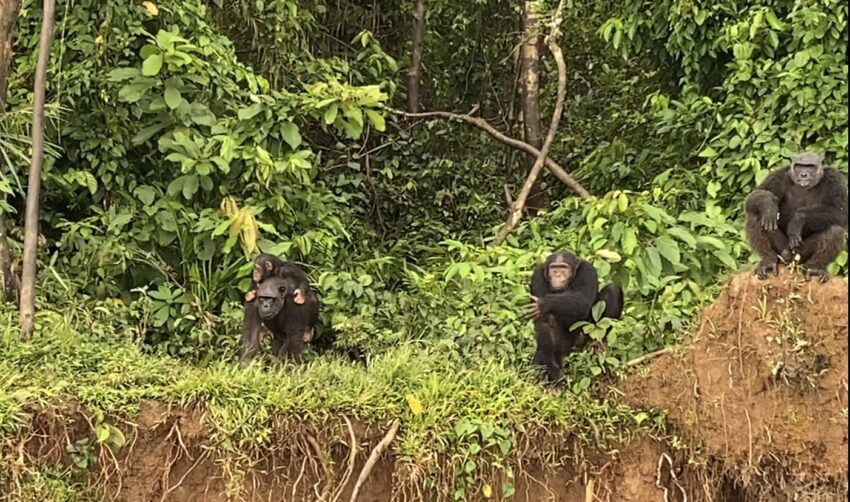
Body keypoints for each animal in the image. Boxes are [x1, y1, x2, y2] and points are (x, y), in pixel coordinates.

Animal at [524, 251, 624, 384]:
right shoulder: (537, 276)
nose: (558, 275)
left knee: (612, 290)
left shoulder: (588, 270)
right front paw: (554, 370)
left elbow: (583, 298)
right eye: (554, 268)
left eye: (563, 268)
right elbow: (543, 319)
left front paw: (545, 303)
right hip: (566, 346)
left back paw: (597, 344)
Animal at [744, 151, 844, 282]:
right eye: (799, 166)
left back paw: (815, 268)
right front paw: (769, 206)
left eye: (810, 166)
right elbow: (754, 196)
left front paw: (798, 219)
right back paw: (768, 261)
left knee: (835, 229)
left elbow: (840, 210)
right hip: (782, 252)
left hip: (800, 256)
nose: (803, 174)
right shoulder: (777, 176)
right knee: (756, 216)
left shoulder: (834, 179)